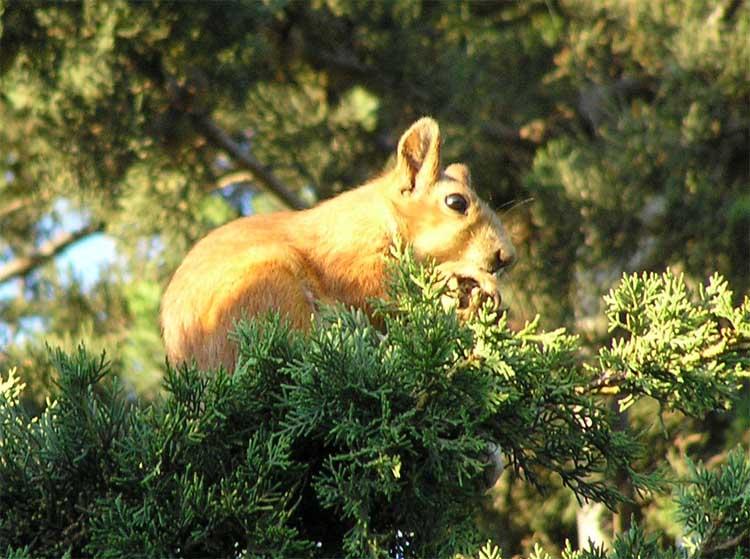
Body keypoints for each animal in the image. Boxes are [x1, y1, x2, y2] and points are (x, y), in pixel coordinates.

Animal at [160, 118, 516, 372]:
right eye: (456, 202)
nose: (506, 257)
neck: (383, 216)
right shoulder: (349, 255)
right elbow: (374, 289)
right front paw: (456, 273)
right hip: (268, 290)